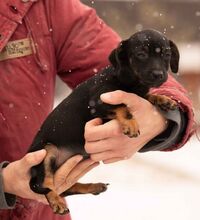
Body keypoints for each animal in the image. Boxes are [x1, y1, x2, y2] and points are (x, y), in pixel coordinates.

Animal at [28, 29, 180, 215]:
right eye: (141, 54)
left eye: (166, 54)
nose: (159, 75)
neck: (129, 80)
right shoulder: (97, 102)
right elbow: (122, 106)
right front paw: (131, 124)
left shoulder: (139, 95)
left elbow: (146, 97)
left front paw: (164, 100)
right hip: (47, 152)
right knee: (46, 185)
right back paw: (57, 201)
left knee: (66, 188)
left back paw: (94, 187)